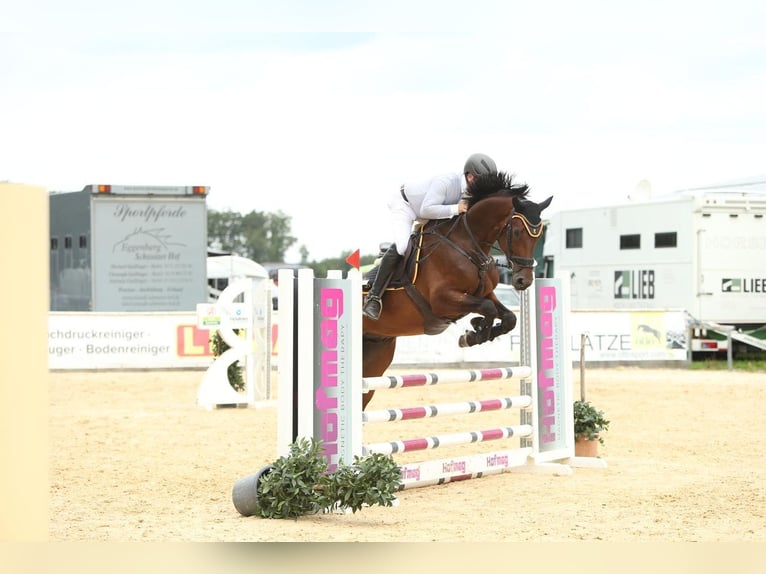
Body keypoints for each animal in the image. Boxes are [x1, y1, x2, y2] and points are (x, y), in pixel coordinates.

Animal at [362, 171, 552, 410]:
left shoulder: (484, 294)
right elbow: (488, 308)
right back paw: (371, 305)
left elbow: (508, 317)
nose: (523, 281)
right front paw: (476, 332)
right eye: (517, 232)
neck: (467, 244)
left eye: (539, 235)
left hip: (376, 352)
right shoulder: (442, 301)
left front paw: (475, 332)